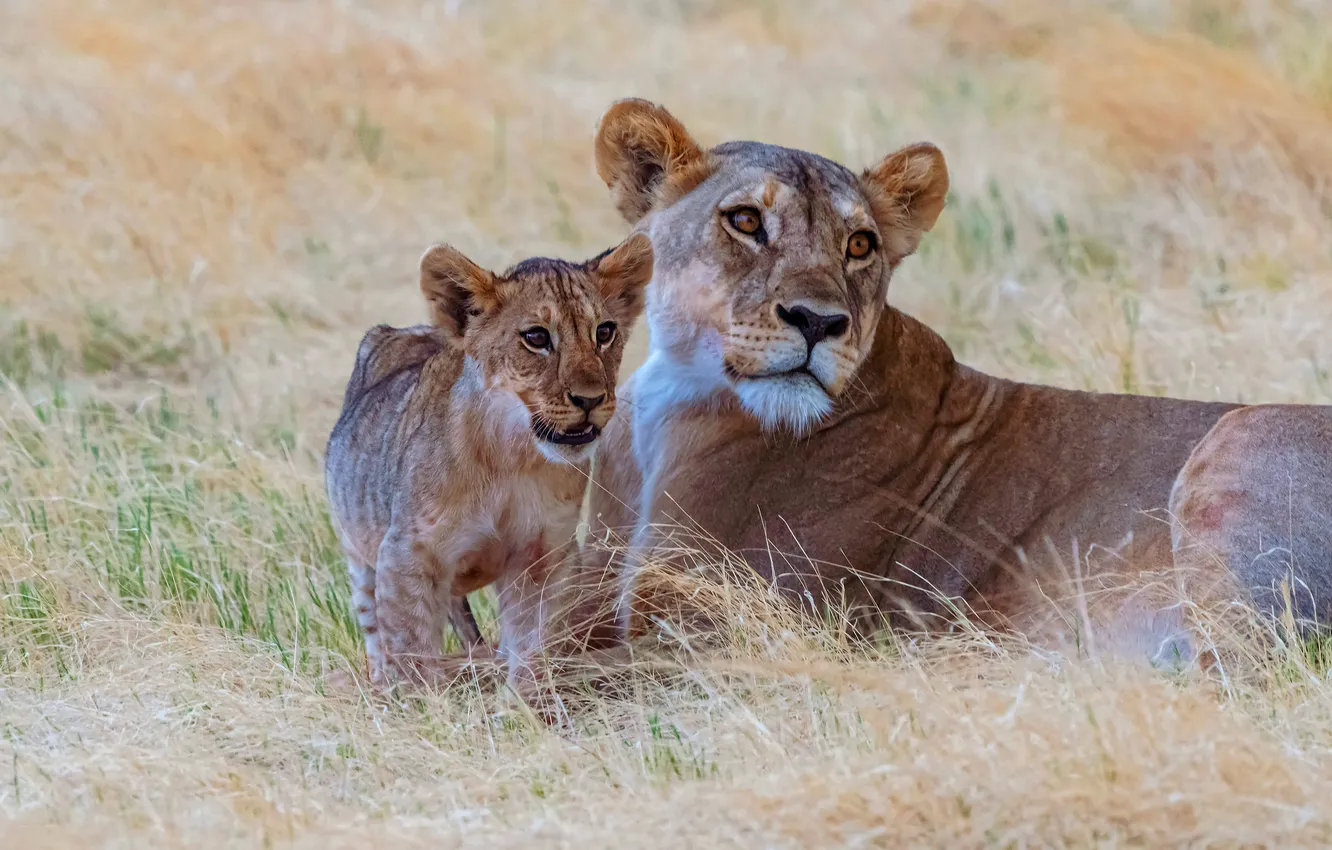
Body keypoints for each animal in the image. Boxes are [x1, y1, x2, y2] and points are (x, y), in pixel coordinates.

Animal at [324, 233, 652, 691]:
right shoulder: (407, 555)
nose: (590, 399)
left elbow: (534, 645)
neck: (511, 458)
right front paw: (421, 706)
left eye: (604, 332)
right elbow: (412, 652)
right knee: (374, 632)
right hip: (358, 555)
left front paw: (528, 704)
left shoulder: (544, 556)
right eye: (536, 337)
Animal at [576, 98, 1332, 665]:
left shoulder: (729, 634)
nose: (820, 322)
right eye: (744, 220)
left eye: (860, 244)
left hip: (1242, 442)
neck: (669, 400)